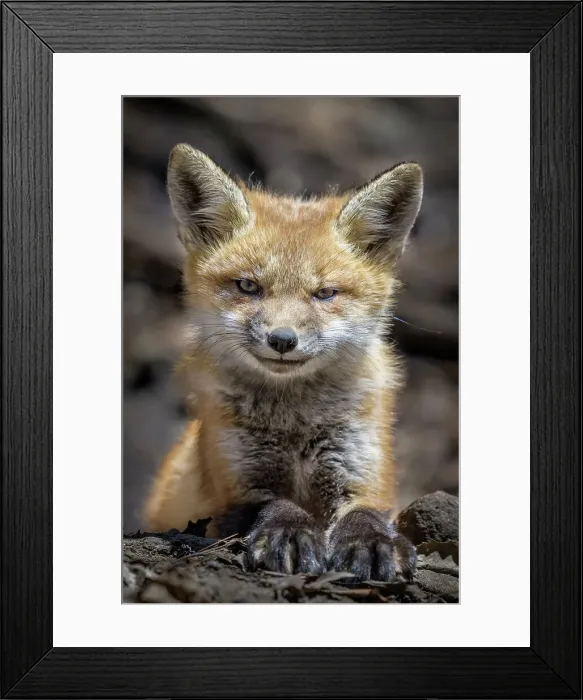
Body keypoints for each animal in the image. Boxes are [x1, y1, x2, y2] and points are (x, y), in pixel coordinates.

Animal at [143, 143, 424, 582]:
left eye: (325, 293)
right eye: (248, 286)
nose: (282, 340)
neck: (296, 424)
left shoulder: (367, 477)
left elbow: (366, 515)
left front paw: (372, 542)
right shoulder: (234, 488)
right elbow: (277, 505)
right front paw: (290, 534)